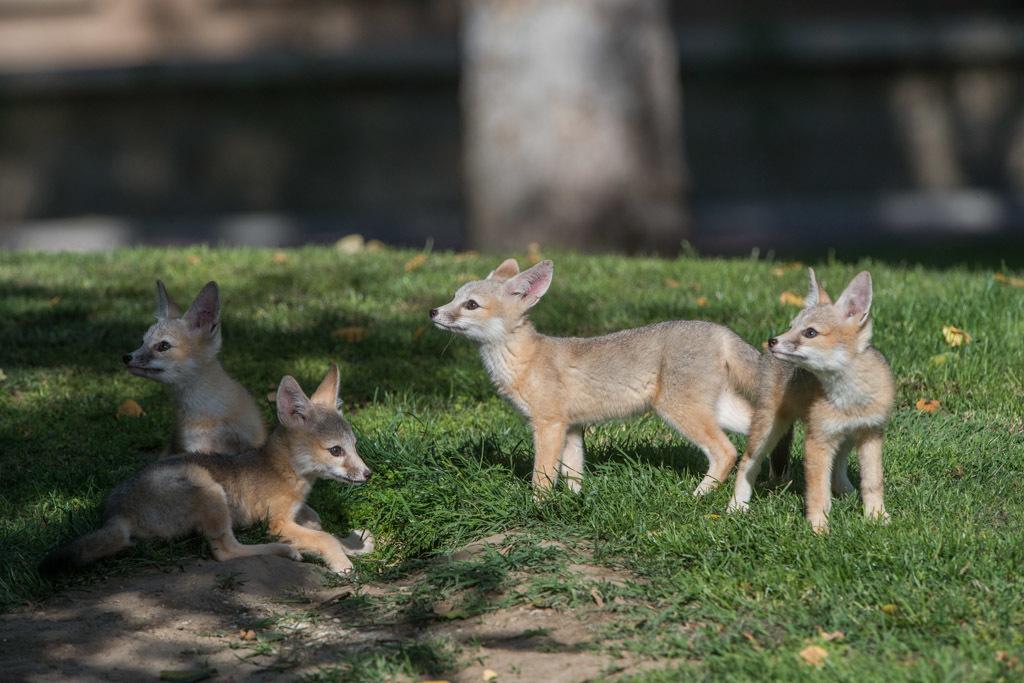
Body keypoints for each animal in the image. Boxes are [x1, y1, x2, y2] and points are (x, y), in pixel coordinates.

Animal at [39, 364, 374, 576]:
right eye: (336, 450)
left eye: (355, 446)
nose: (368, 474)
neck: (283, 471)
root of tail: (117, 515)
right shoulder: (278, 522)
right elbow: (323, 536)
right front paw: (340, 559)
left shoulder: (298, 512)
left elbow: (319, 524)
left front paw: (352, 545)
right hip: (210, 488)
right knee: (225, 552)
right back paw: (283, 550)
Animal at [429, 258, 790, 496]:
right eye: (454, 297)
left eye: (471, 304)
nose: (432, 312)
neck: (525, 360)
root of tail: (719, 329)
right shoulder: (572, 428)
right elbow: (573, 474)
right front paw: (574, 504)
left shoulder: (548, 425)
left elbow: (542, 476)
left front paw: (537, 507)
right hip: (719, 411)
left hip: (678, 411)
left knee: (726, 452)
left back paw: (700, 494)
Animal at [726, 269, 895, 533]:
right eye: (791, 327)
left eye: (811, 332)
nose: (773, 340)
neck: (850, 399)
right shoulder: (817, 441)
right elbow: (818, 493)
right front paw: (818, 527)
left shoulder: (871, 435)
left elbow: (873, 483)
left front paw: (877, 516)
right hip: (767, 431)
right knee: (747, 463)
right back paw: (737, 505)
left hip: (846, 438)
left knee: (839, 467)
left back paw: (846, 492)